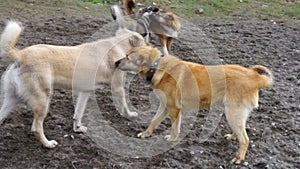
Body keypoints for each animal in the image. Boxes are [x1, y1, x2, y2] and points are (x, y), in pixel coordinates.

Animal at [0, 20, 145, 149]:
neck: (119, 46)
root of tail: (21, 55)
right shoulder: (117, 88)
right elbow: (124, 106)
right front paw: (131, 115)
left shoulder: (85, 92)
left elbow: (78, 112)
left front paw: (77, 128)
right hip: (43, 100)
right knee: (36, 128)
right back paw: (48, 144)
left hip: (12, 99)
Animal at [115, 45, 274, 164]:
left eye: (128, 57)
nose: (115, 62)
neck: (157, 66)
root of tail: (254, 76)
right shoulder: (164, 105)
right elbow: (154, 121)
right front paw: (146, 134)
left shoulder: (174, 108)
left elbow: (175, 128)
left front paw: (172, 139)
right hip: (235, 113)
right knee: (241, 131)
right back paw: (233, 136)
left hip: (232, 113)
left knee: (245, 140)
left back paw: (239, 158)